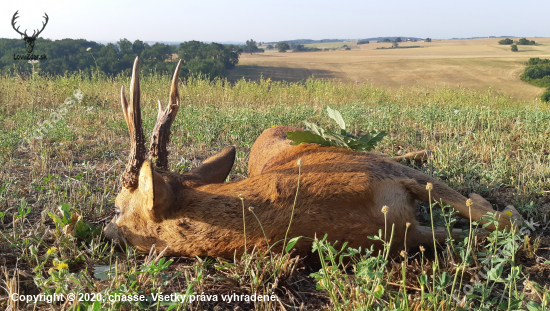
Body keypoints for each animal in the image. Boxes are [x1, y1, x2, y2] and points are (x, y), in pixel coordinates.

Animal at [105, 58, 524, 258]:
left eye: (116, 206)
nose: (106, 232)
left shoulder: (385, 172)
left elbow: (487, 215)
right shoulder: (400, 226)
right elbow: (499, 221)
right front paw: (507, 214)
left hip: (346, 148)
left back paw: (424, 151)